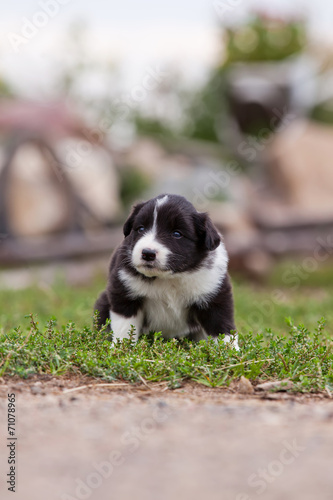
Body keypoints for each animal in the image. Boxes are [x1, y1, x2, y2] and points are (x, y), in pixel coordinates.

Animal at [94, 193, 237, 350]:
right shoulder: (124, 295)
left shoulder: (214, 297)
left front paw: (232, 353)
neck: (169, 277)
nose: (147, 253)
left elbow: (223, 329)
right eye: (141, 229)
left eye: (177, 234)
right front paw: (121, 350)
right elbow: (124, 328)